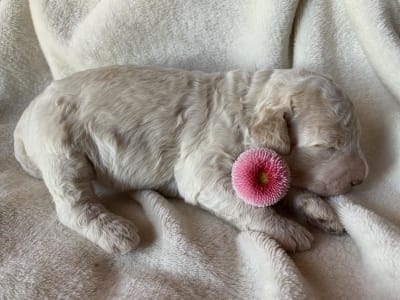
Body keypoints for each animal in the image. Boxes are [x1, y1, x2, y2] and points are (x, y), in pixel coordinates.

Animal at [14, 65, 368, 253]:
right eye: (328, 146)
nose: (360, 179)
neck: (248, 105)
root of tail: (25, 117)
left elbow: (285, 185)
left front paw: (319, 212)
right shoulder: (204, 167)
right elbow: (249, 206)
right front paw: (289, 230)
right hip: (60, 146)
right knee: (73, 204)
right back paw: (114, 232)